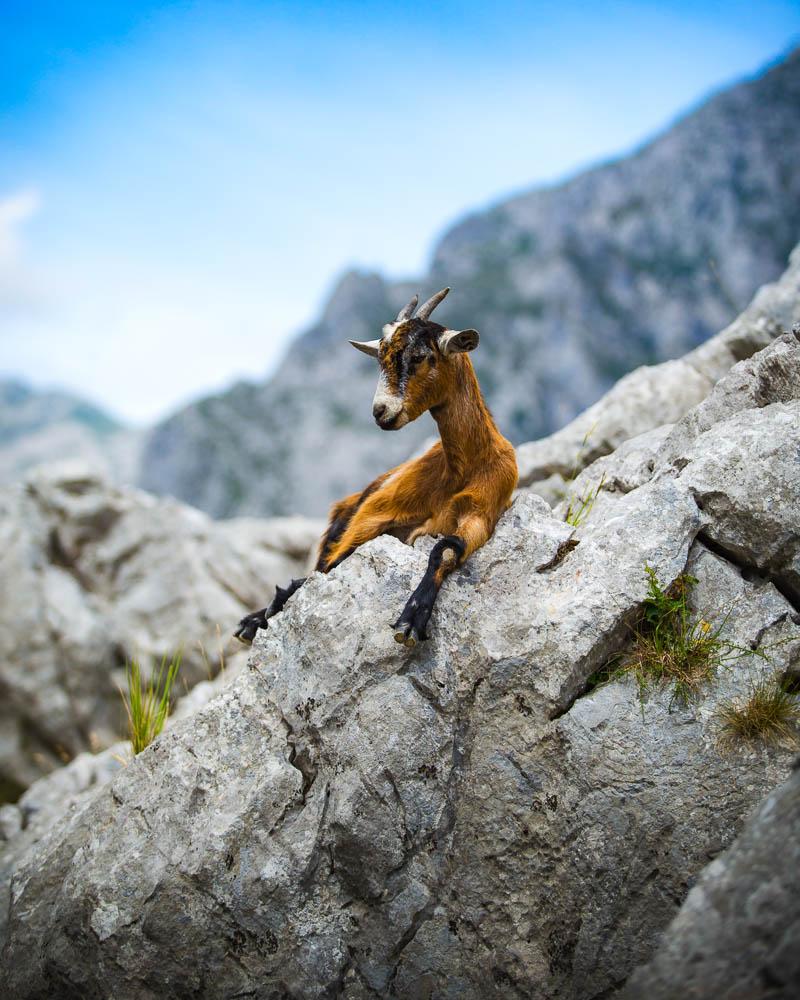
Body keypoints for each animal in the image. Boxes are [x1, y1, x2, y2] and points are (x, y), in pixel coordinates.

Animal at [231, 288, 520, 648]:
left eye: (421, 356)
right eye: (380, 359)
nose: (380, 411)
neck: (462, 468)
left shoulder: (482, 512)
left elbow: (446, 550)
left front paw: (411, 619)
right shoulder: (373, 514)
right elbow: (333, 564)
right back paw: (256, 618)